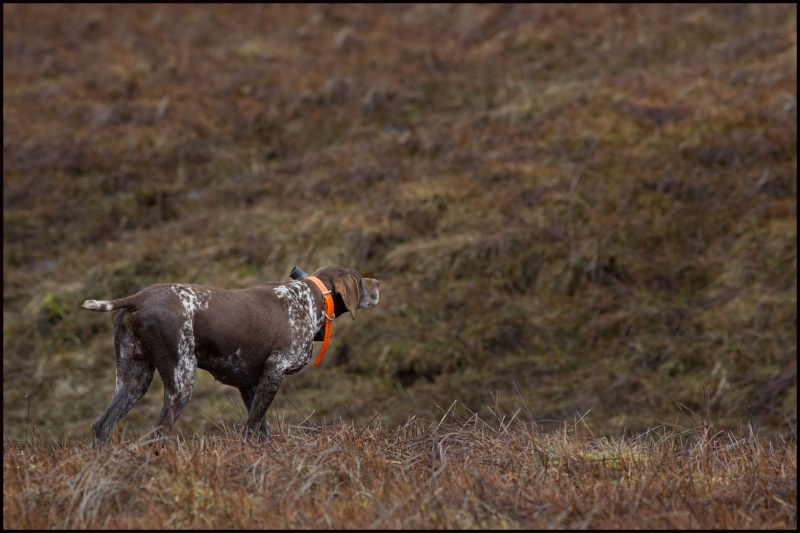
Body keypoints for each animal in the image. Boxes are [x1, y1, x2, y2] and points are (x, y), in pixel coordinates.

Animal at [83, 264, 380, 442]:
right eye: (358, 278)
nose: (378, 283)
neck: (311, 298)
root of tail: (139, 297)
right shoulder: (275, 370)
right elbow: (253, 427)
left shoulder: (249, 384)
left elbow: (260, 430)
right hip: (181, 381)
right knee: (160, 432)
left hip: (133, 380)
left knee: (102, 425)